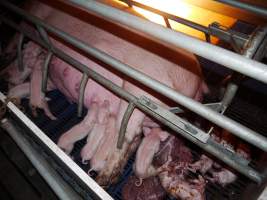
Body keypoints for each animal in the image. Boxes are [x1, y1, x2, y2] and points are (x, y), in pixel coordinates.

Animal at [4, 0, 209, 187]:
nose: (7, 76)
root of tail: (197, 82)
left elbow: (17, 39)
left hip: (142, 90)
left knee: (126, 135)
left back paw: (103, 179)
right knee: (133, 140)